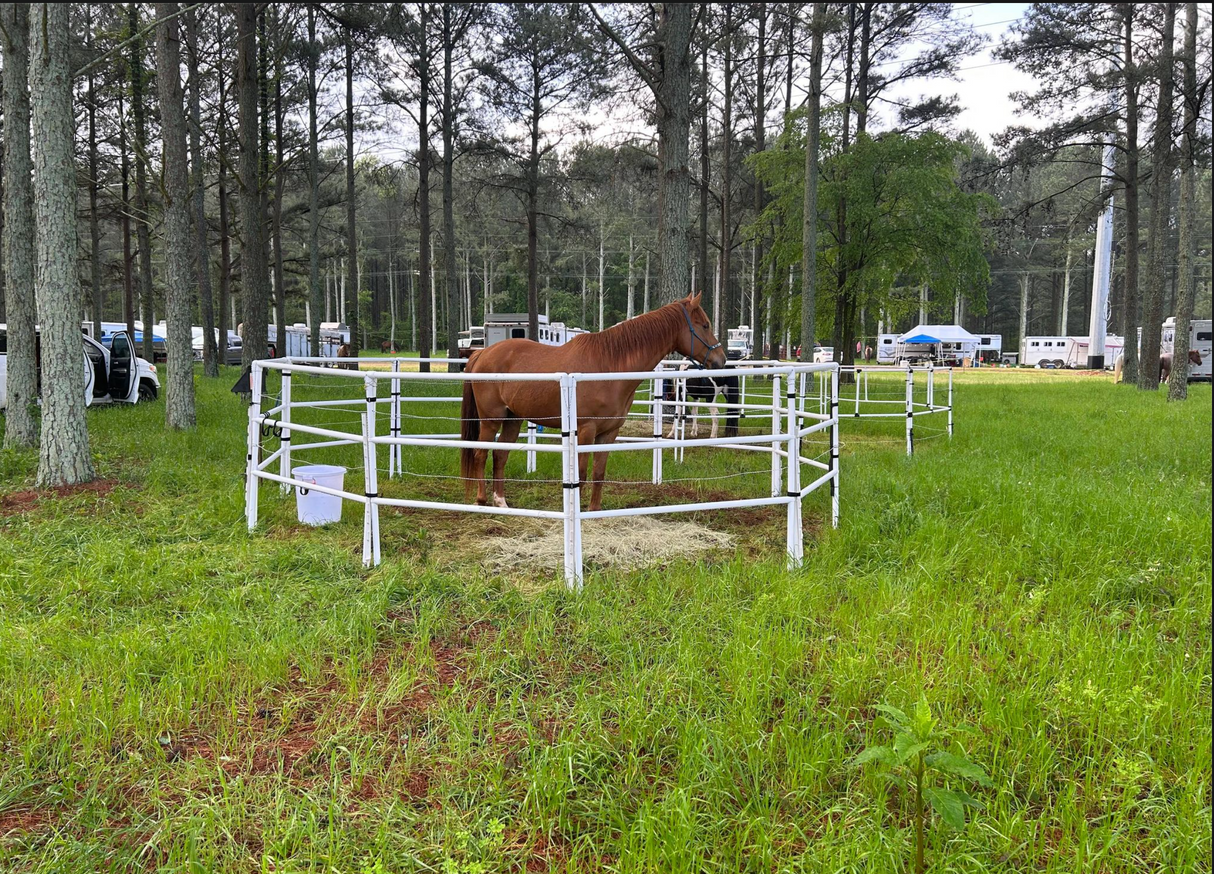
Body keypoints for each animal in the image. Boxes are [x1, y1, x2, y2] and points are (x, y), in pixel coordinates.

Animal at [456, 293, 718, 512]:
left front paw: (594, 511)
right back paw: (481, 500)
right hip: (491, 420)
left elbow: (598, 472)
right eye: (705, 325)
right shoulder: (585, 430)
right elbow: (580, 474)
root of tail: (482, 353)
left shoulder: (609, 432)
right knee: (480, 453)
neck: (609, 366)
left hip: (513, 419)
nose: (720, 358)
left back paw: (501, 501)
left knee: (500, 456)